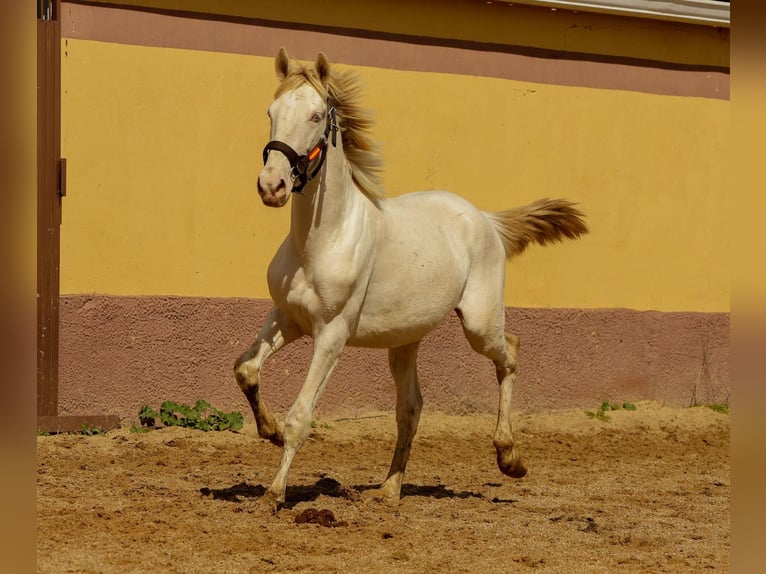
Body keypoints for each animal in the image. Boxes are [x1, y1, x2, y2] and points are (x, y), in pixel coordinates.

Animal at [234, 47, 588, 510]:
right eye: (271, 112)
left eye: (315, 116)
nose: (271, 186)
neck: (320, 241)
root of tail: (487, 220)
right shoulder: (287, 318)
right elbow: (246, 370)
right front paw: (269, 430)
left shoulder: (332, 333)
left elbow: (301, 416)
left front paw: (273, 493)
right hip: (404, 341)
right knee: (412, 408)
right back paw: (389, 489)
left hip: (479, 324)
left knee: (509, 351)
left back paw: (509, 458)